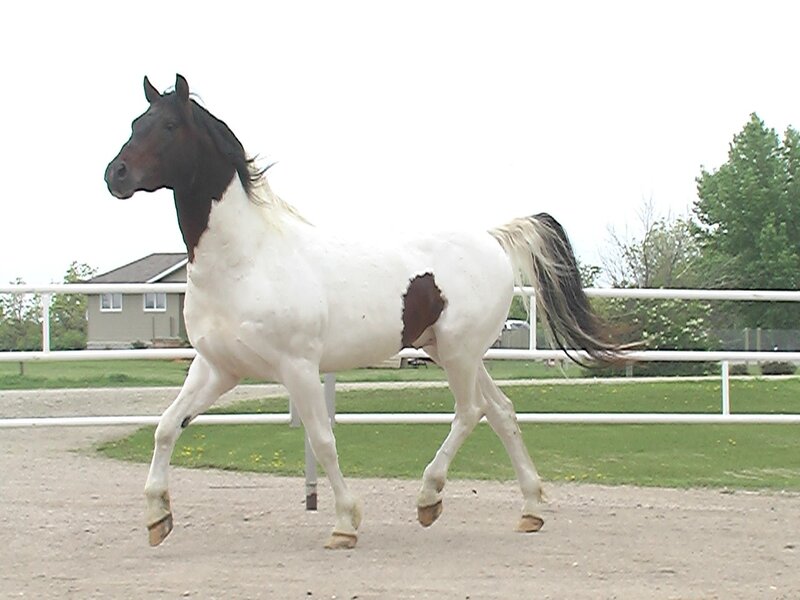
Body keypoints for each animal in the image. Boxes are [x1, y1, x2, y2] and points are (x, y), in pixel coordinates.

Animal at [105, 74, 622, 550]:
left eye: (169, 125)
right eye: (135, 123)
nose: (116, 174)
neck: (246, 260)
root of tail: (492, 238)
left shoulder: (298, 367)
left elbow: (322, 441)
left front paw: (345, 524)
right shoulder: (217, 368)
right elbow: (166, 427)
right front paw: (157, 518)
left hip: (459, 353)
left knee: (470, 411)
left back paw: (429, 498)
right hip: (456, 353)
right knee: (501, 412)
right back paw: (530, 509)